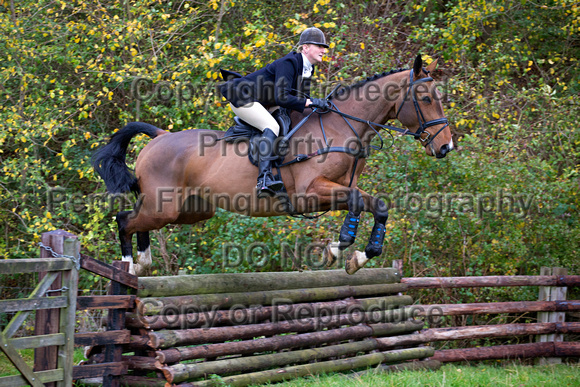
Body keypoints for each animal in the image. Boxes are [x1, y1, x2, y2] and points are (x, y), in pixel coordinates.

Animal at [92, 56, 454, 278]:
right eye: (425, 99)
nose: (445, 146)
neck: (341, 126)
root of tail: (160, 136)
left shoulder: (338, 188)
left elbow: (377, 205)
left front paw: (360, 257)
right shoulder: (309, 194)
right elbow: (355, 203)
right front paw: (337, 249)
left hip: (190, 210)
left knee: (138, 221)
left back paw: (142, 264)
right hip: (164, 206)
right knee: (125, 220)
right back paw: (128, 268)